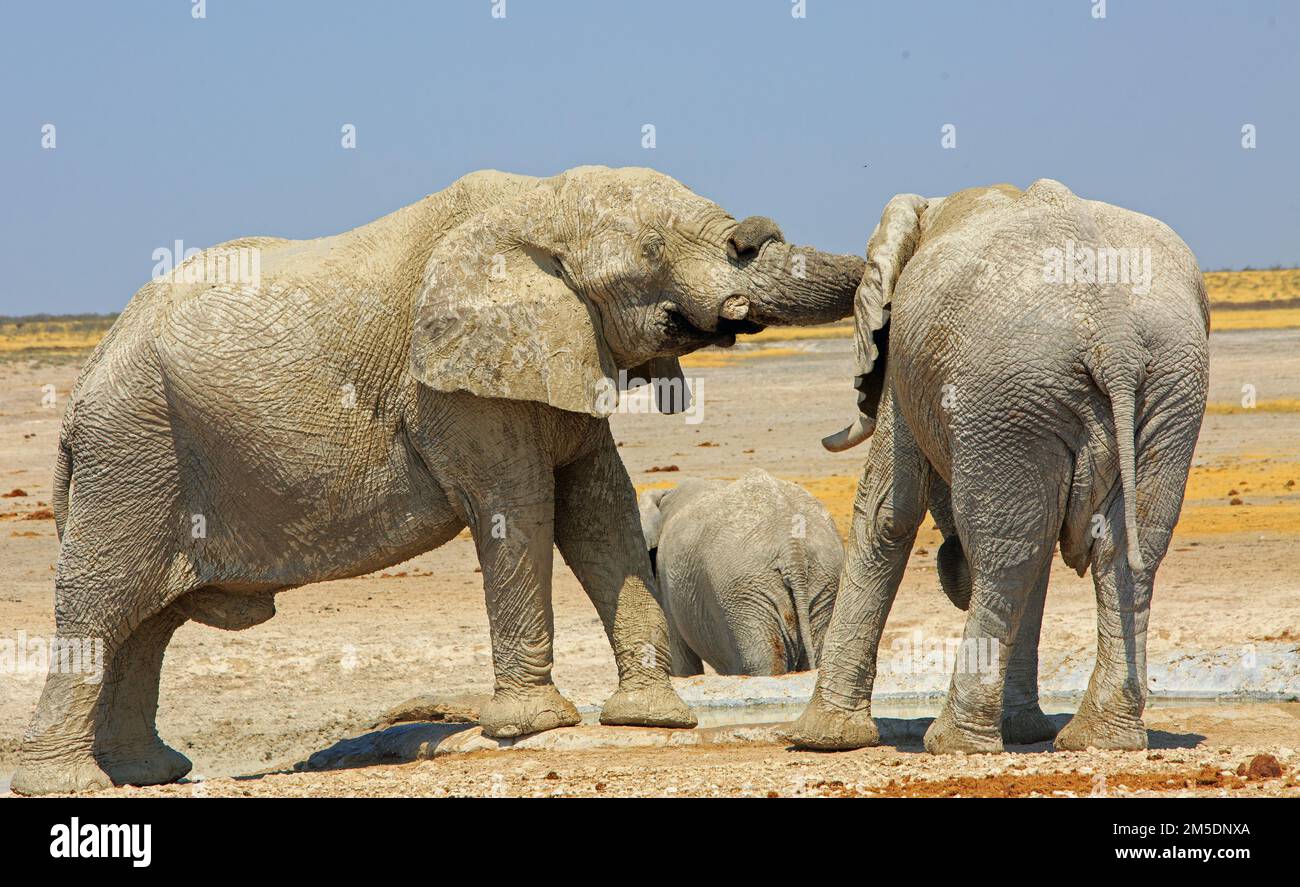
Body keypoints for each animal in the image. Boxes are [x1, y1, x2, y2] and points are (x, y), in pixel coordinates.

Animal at [785, 178, 1211, 754]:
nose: (950, 563)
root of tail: (1114, 334)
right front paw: (1025, 732)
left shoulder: (903, 365)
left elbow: (886, 512)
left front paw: (818, 740)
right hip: (1163, 389)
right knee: (1122, 548)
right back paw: (1101, 740)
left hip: (1009, 391)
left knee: (1007, 555)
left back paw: (955, 743)